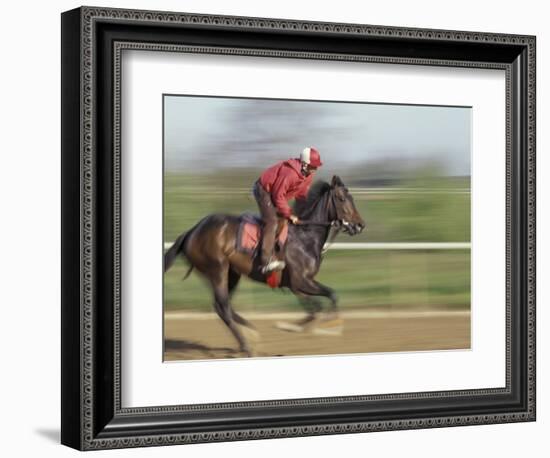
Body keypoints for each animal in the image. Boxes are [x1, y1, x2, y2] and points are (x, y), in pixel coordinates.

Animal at [164, 174, 366, 354]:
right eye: (342, 198)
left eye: (352, 197)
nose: (360, 225)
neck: (305, 236)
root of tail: (192, 231)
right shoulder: (300, 281)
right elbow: (324, 301)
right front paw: (326, 326)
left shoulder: (297, 284)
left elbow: (321, 303)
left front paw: (305, 326)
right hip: (217, 269)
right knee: (223, 307)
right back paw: (247, 345)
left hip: (232, 274)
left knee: (222, 306)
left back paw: (251, 333)